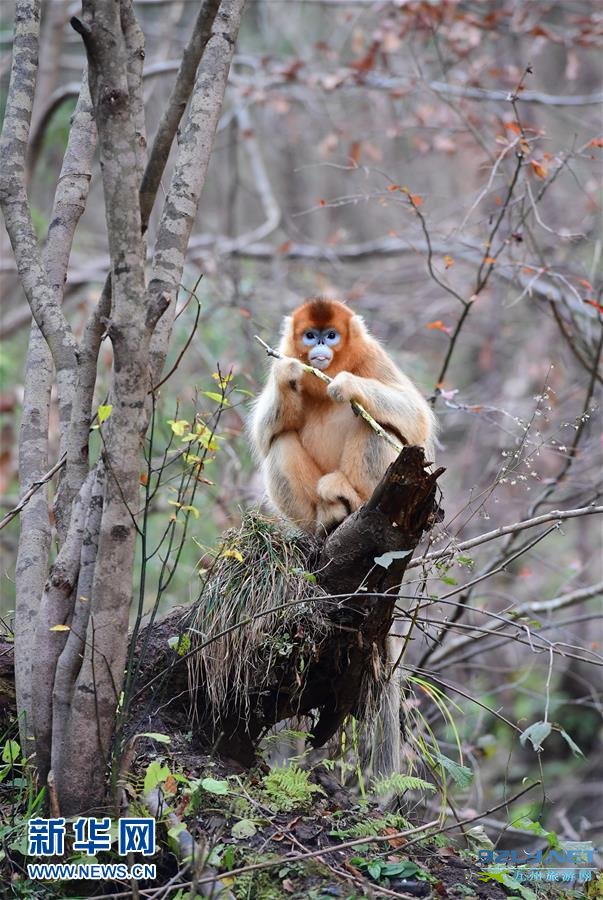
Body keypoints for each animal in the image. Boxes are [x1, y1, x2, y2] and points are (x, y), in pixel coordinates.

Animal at [248, 298, 436, 532]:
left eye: (331, 335)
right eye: (310, 335)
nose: (320, 343)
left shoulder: (371, 354)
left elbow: (417, 417)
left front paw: (347, 384)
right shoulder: (285, 353)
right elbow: (262, 432)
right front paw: (286, 374)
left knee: (376, 427)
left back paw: (354, 500)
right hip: (306, 519)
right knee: (280, 440)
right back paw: (326, 519)